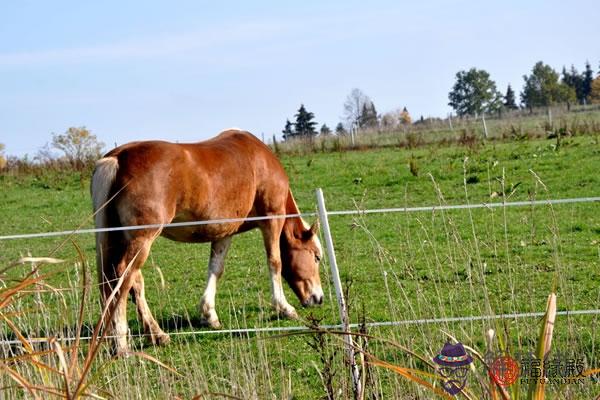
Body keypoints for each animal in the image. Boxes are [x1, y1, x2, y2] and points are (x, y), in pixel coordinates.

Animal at [90, 129, 324, 354]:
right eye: (317, 257)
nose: (318, 298)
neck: (261, 160)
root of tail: (117, 158)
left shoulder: (225, 232)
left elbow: (215, 269)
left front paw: (209, 314)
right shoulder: (272, 219)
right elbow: (275, 263)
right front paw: (284, 307)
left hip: (121, 240)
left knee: (130, 281)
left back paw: (156, 334)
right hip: (142, 240)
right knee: (122, 278)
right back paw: (121, 344)